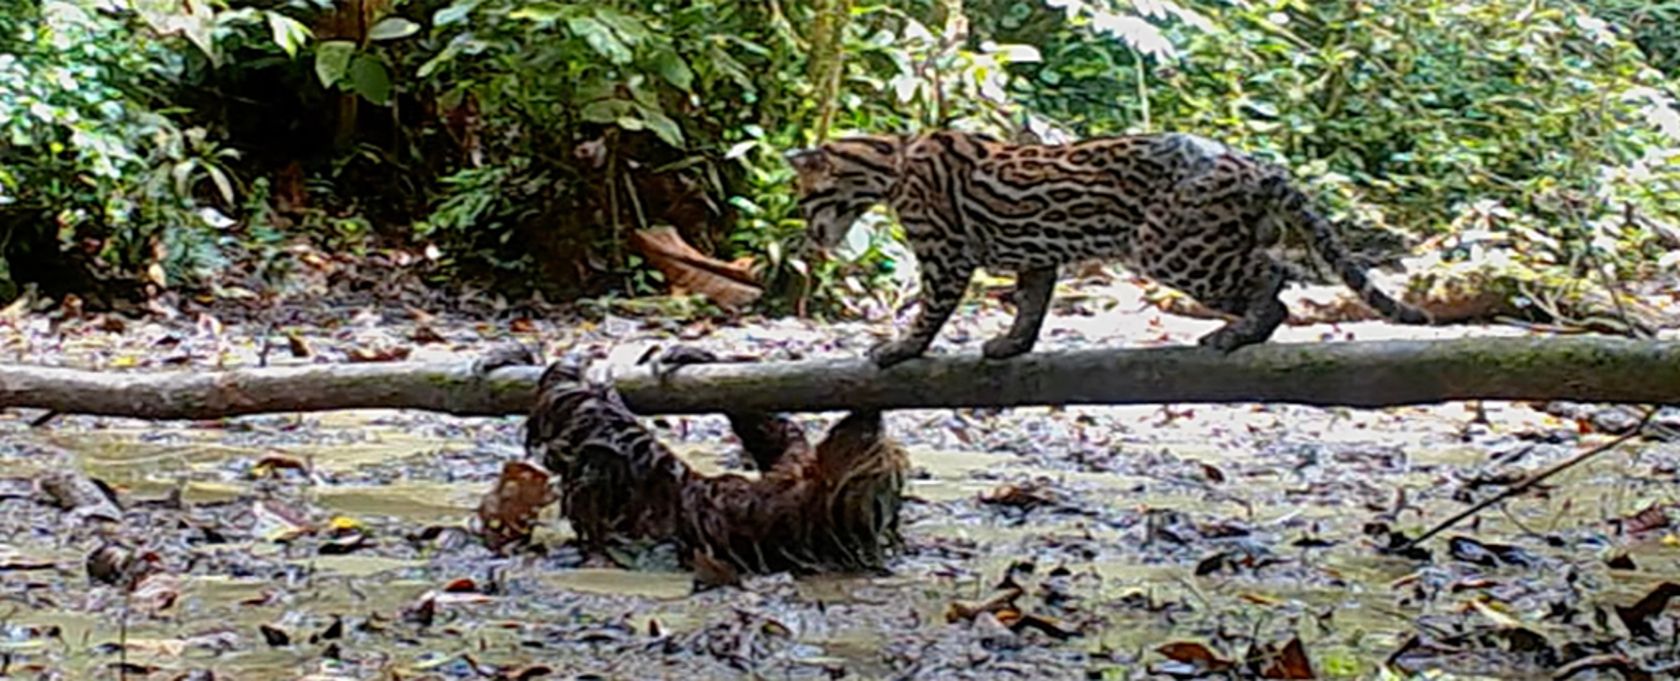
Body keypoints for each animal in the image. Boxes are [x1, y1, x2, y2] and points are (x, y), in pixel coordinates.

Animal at [782, 130, 1431, 368]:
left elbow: (931, 310)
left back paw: (1238, 332)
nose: (809, 235)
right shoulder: (1036, 257)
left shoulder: (944, 257)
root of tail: (1255, 165)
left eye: (804, 198)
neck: (890, 162)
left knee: (1275, 280)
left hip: (1169, 245)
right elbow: (1032, 303)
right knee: (1280, 270)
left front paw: (901, 348)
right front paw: (1013, 344)